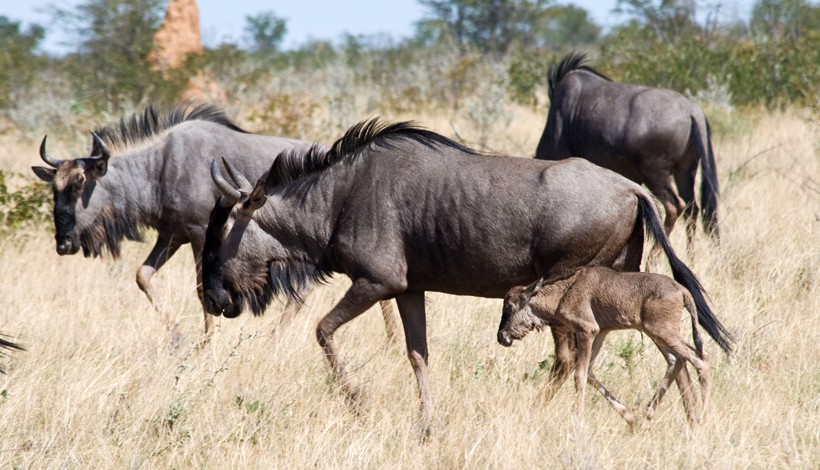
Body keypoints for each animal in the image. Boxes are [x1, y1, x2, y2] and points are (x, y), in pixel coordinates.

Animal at [496, 268, 708, 426]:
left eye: (510, 306)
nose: (501, 337)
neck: (565, 291)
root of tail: (683, 292)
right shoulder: (600, 332)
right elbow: (589, 373)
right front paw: (630, 418)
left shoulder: (586, 331)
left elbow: (579, 375)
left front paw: (578, 420)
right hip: (657, 333)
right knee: (678, 360)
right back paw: (647, 415)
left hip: (662, 331)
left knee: (700, 360)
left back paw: (700, 416)